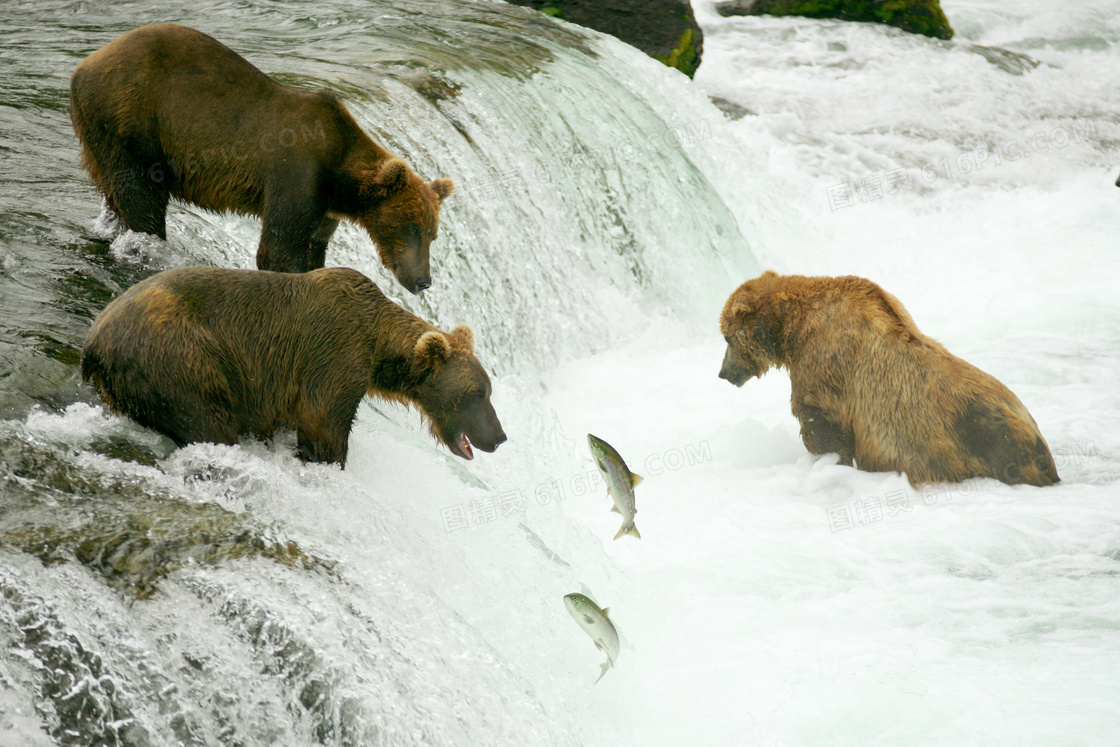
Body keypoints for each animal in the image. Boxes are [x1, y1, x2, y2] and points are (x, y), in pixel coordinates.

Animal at [70, 24, 452, 291]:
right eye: (411, 227)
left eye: (432, 234)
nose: (423, 280)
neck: (339, 177)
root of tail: (84, 64)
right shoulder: (297, 173)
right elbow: (280, 248)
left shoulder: (325, 208)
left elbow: (312, 246)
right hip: (130, 118)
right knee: (142, 197)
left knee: (117, 196)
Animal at [81, 267, 508, 468]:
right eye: (478, 394)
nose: (500, 436)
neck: (378, 349)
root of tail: (94, 344)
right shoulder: (334, 356)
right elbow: (323, 422)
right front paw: (328, 460)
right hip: (179, 358)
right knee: (207, 420)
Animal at [716, 272, 1057, 488]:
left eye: (727, 337)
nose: (723, 373)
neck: (792, 330)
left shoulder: (826, 362)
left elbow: (820, 421)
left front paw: (826, 462)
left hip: (982, 439)